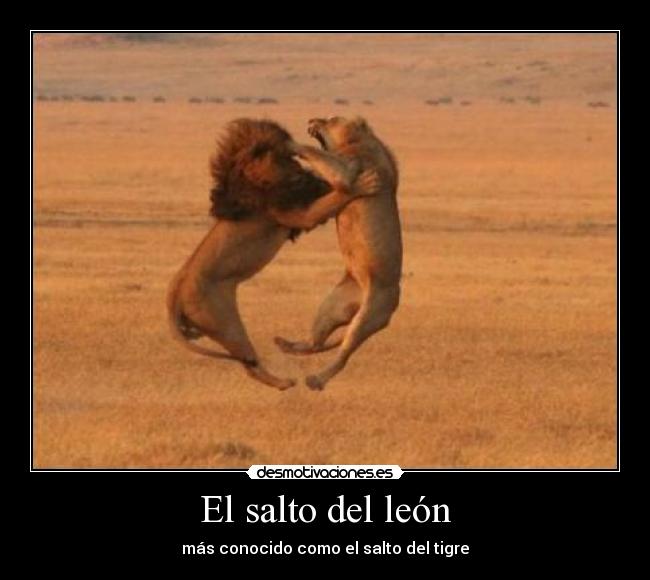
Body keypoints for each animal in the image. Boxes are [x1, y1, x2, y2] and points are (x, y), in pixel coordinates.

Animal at [167, 118, 379, 390]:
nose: (295, 153)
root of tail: (174, 292)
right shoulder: (299, 213)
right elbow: (333, 197)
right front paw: (365, 183)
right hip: (226, 322)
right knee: (250, 363)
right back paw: (284, 383)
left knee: (248, 365)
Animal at [274, 116, 402, 390]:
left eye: (332, 119)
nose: (312, 120)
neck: (359, 141)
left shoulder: (350, 170)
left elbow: (317, 154)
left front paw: (290, 142)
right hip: (332, 305)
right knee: (315, 343)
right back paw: (287, 345)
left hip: (370, 314)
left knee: (343, 354)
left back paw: (316, 380)